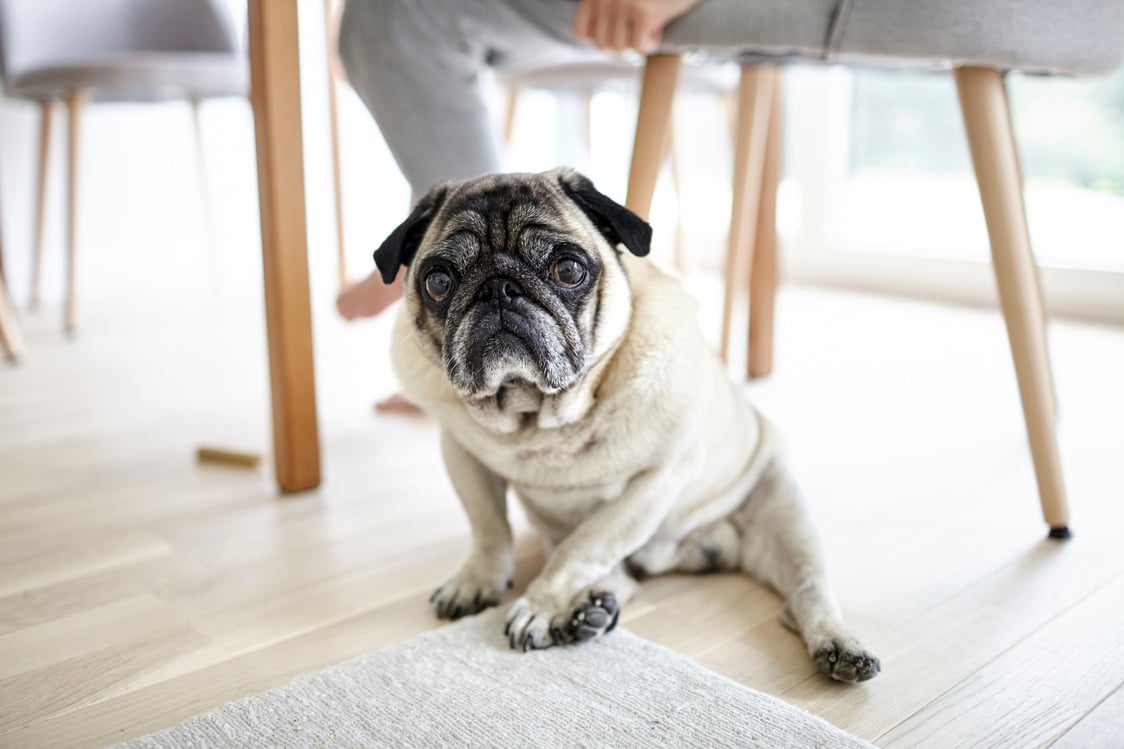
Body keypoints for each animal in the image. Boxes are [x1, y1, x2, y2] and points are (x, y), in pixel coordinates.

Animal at [373, 166, 881, 679]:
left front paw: (541, 604)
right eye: (439, 281)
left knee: (807, 589)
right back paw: (589, 610)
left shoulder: (654, 482)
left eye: (568, 270)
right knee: (620, 577)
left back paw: (838, 644)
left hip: (785, 515)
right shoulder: (463, 457)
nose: (498, 288)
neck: (540, 417)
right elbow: (489, 528)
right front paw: (478, 580)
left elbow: (584, 546)